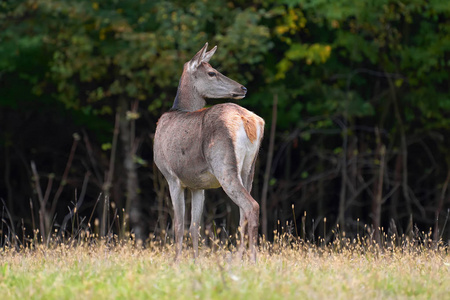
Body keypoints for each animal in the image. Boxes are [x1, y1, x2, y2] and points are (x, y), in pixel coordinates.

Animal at [154, 43, 264, 262]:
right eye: (212, 72)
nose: (243, 88)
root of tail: (247, 120)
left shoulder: (171, 176)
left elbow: (179, 225)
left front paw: (176, 261)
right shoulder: (198, 185)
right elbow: (194, 227)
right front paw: (196, 260)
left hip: (223, 163)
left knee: (251, 206)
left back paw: (250, 260)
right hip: (249, 168)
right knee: (242, 213)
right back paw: (241, 257)